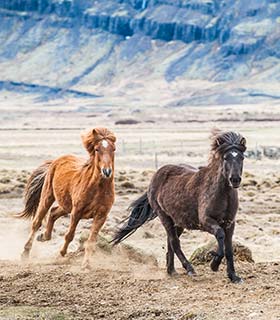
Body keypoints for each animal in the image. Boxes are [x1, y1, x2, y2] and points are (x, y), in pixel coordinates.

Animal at [17, 127, 116, 268]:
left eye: (113, 149)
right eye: (97, 149)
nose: (107, 172)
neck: (98, 189)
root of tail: (55, 161)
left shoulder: (101, 216)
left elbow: (91, 241)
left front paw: (86, 265)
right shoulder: (77, 212)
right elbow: (69, 235)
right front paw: (60, 255)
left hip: (66, 205)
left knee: (53, 213)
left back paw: (44, 236)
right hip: (48, 197)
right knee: (37, 222)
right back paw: (25, 253)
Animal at [112, 130, 246, 282]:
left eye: (241, 157)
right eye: (225, 158)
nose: (235, 179)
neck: (222, 194)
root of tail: (154, 178)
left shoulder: (230, 223)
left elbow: (229, 249)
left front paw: (234, 276)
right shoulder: (206, 221)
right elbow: (220, 235)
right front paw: (214, 265)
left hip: (179, 222)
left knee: (170, 242)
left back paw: (171, 271)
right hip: (165, 217)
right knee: (174, 242)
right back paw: (189, 269)